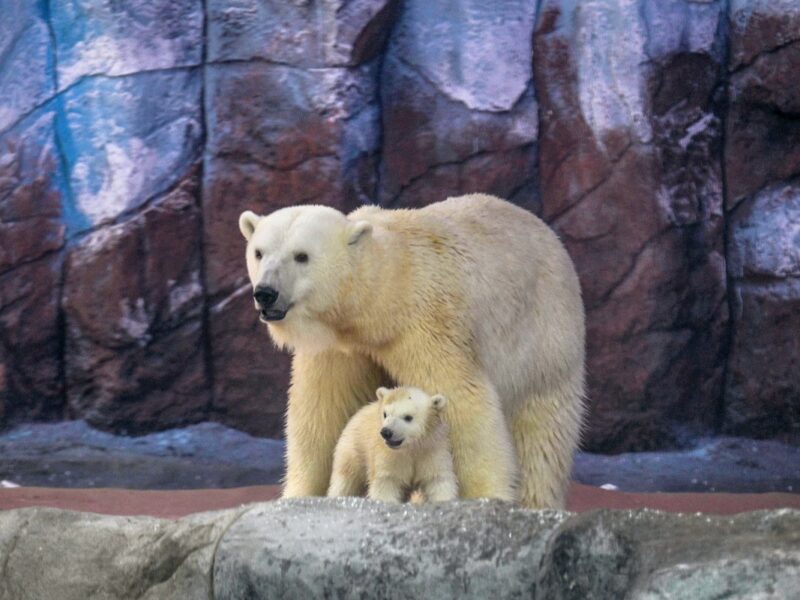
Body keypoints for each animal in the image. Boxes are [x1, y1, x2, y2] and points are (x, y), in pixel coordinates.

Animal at [328, 386, 458, 503]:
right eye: (385, 414)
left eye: (408, 417)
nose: (386, 432)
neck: (411, 447)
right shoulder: (388, 456)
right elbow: (387, 482)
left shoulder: (432, 450)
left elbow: (438, 480)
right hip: (353, 448)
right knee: (345, 479)